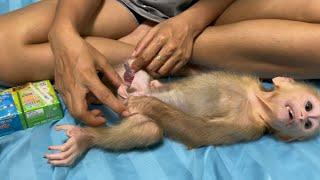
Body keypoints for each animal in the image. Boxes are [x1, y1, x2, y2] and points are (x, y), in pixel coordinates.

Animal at [43, 64, 320, 165]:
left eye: (308, 125)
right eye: (309, 107)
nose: (300, 118)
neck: (257, 103)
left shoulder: (248, 127)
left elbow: (200, 132)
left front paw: (147, 103)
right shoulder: (245, 80)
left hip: (136, 119)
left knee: (150, 129)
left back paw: (85, 138)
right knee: (140, 80)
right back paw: (129, 83)